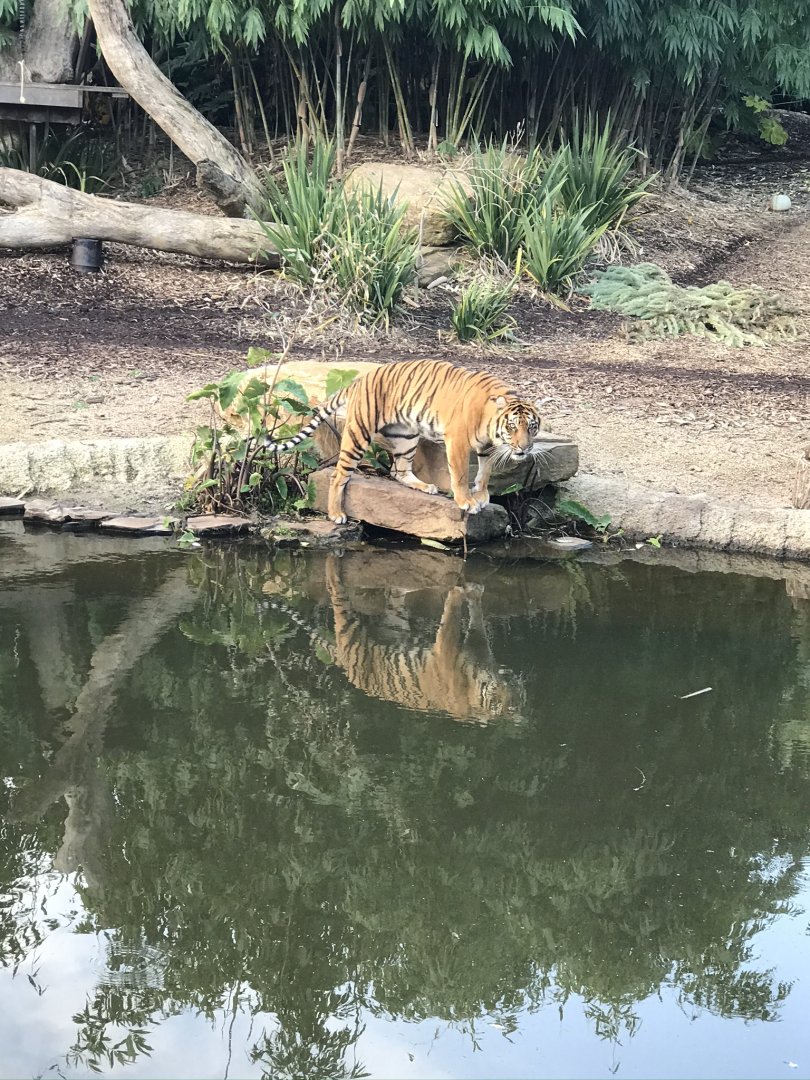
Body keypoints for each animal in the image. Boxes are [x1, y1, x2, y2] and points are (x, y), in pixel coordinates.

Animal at [261, 359, 543, 524]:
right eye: (512, 427)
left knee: (398, 471)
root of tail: (360, 380)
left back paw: (425, 486)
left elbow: (485, 472)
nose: (524, 448)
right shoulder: (457, 442)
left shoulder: (486, 447)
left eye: (531, 427)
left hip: (406, 435)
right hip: (359, 434)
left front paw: (482, 495)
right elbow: (461, 474)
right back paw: (336, 514)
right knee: (338, 474)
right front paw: (466, 501)